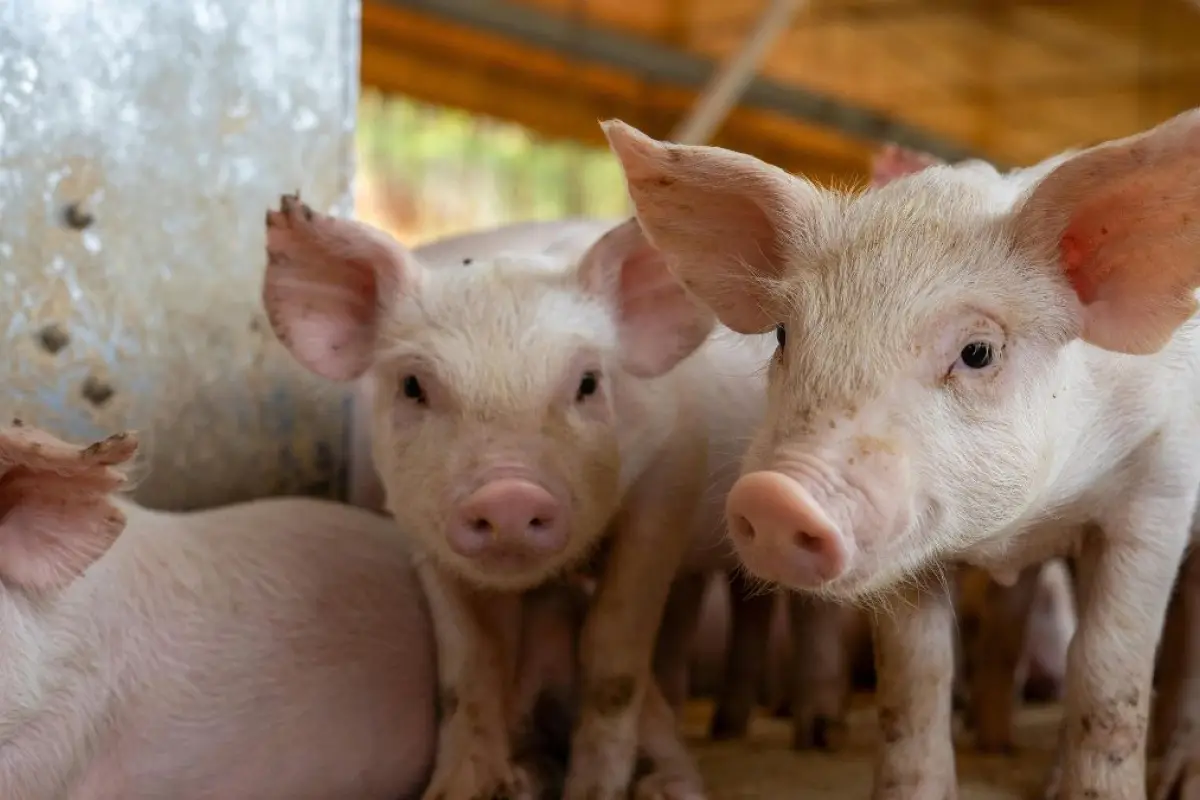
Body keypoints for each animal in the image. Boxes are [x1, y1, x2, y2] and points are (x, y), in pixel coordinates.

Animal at [261, 200, 780, 800]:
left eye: (588, 382)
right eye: (413, 386)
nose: (508, 494)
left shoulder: (670, 479)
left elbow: (613, 650)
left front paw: (593, 792)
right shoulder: (418, 528)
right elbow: (469, 665)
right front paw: (458, 789)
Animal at [603, 108, 1200, 800]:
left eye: (978, 352)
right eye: (783, 334)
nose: (776, 496)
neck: (1022, 528)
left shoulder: (1161, 482)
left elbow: (1110, 667)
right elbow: (915, 680)